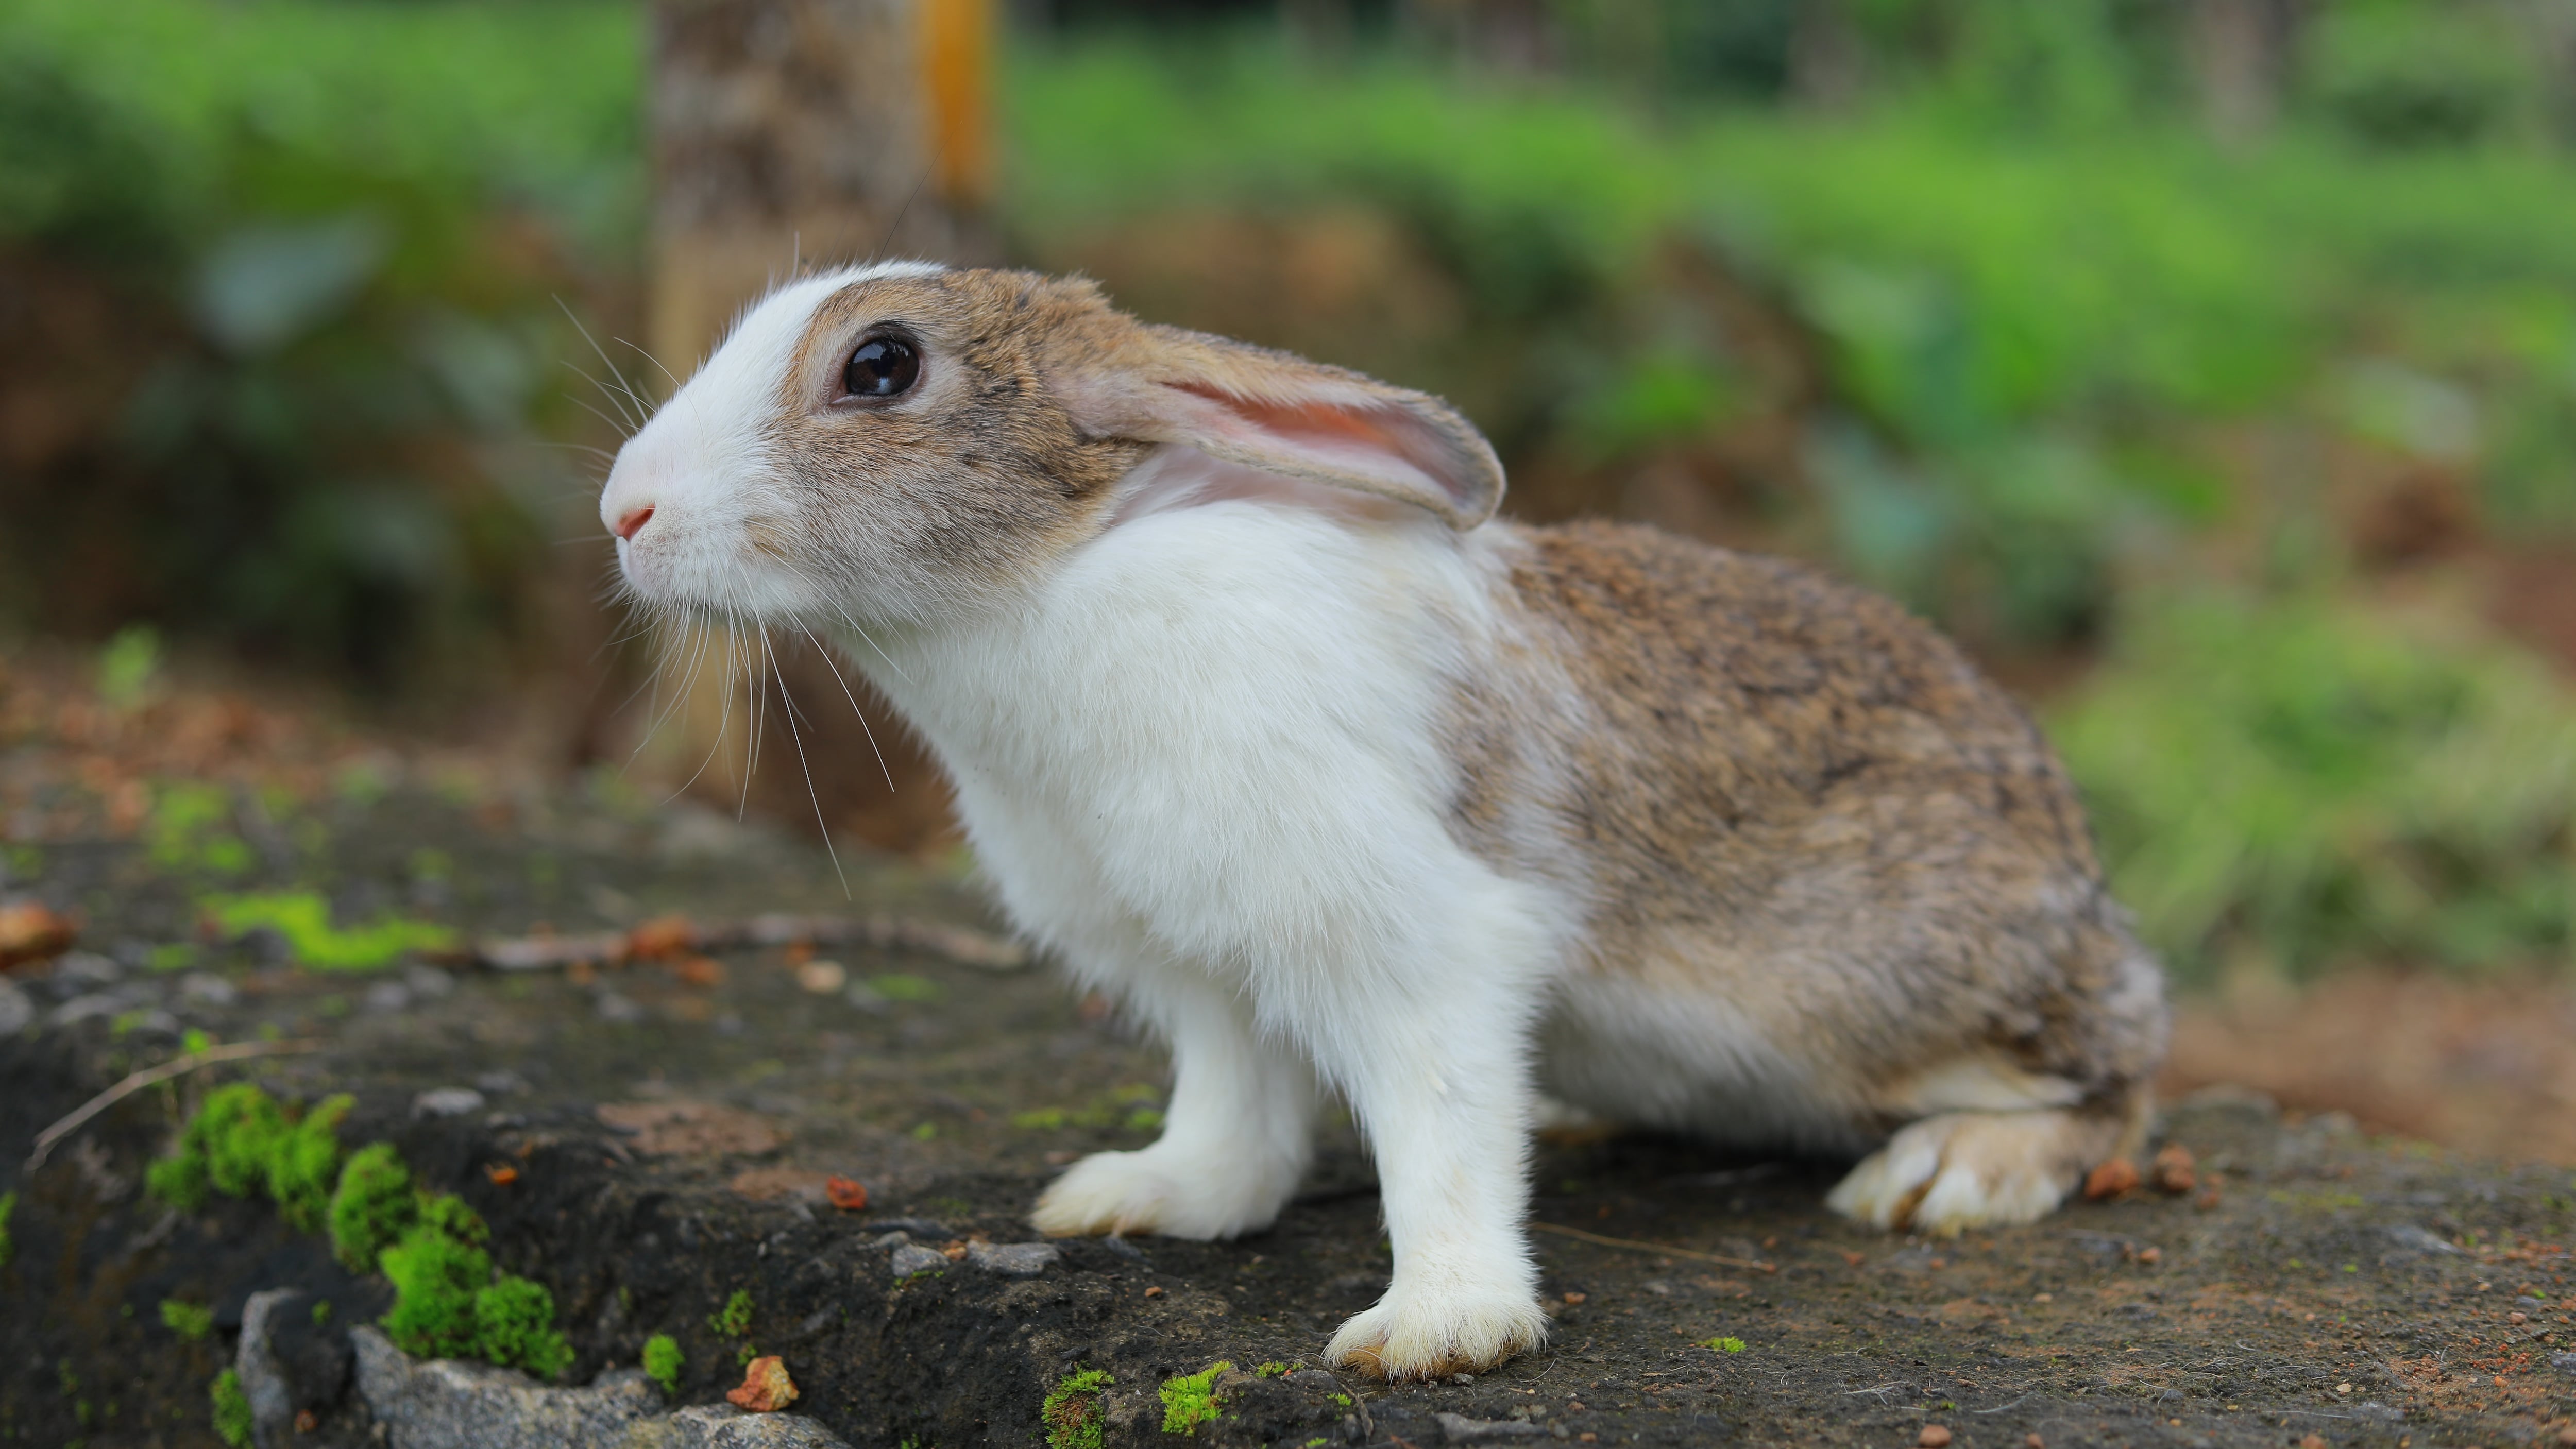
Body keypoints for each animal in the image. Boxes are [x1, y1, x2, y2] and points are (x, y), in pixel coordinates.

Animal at [598, 263, 2169, 1381]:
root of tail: (2088, 888)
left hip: (1918, 996)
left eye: (881, 364)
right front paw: (1139, 1196)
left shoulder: (1411, 939)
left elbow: (1441, 1130)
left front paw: (1440, 1329)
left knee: (2120, 1086)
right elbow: (1235, 1112)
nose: (624, 510)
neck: (1056, 576)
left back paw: (1945, 1174)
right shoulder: (1200, 970)